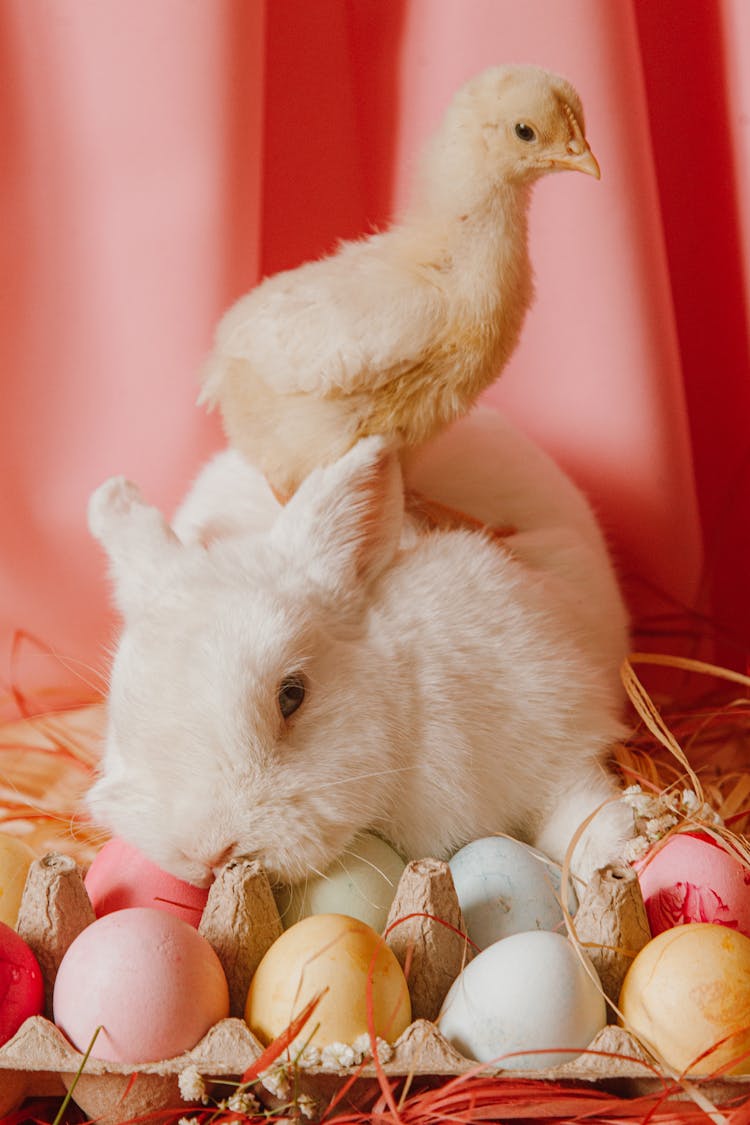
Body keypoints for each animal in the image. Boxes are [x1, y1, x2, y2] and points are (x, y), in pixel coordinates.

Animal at [89, 409, 638, 891]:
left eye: (292, 695)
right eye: (121, 721)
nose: (206, 853)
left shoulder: (558, 729)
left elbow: (576, 805)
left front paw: (610, 855)